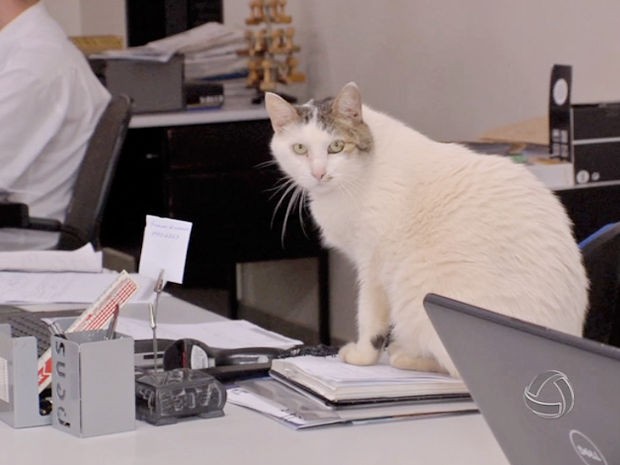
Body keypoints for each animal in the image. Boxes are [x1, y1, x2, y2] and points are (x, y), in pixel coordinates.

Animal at [264, 81, 588, 376]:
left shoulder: (372, 267)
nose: (318, 173)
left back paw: (404, 356)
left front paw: (362, 356)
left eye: (336, 146)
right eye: (300, 149)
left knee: (457, 373)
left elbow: (368, 318)